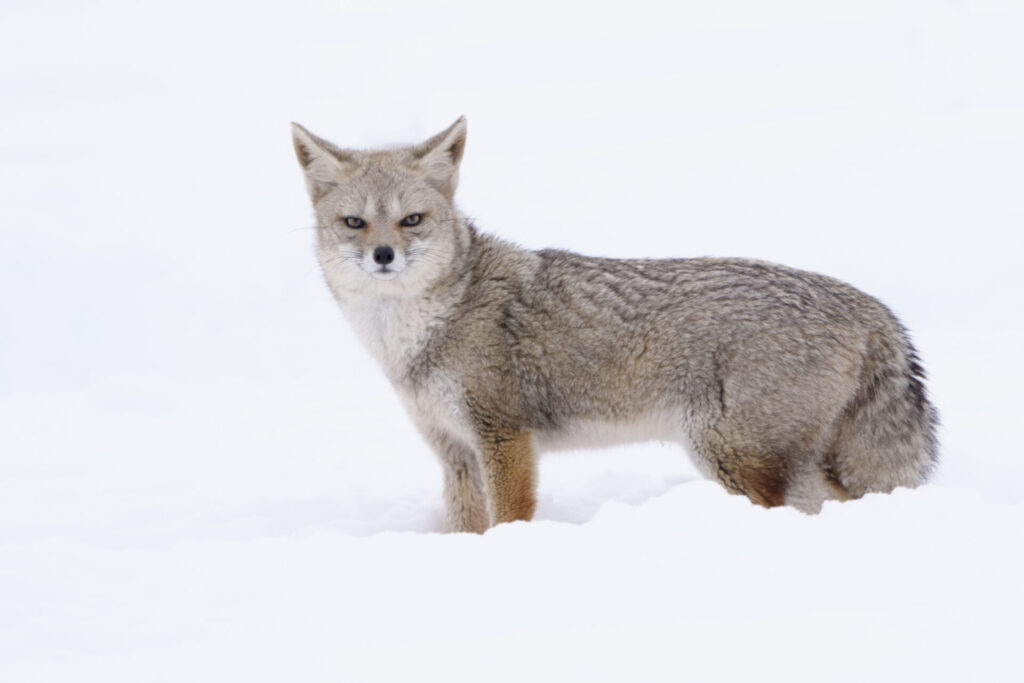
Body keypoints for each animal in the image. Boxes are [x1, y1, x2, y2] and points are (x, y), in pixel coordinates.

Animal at [291, 116, 939, 531]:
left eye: (412, 220)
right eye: (354, 223)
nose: (383, 256)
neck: (417, 332)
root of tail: (871, 306)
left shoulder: (504, 438)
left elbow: (508, 521)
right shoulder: (454, 451)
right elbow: (463, 529)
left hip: (730, 455)